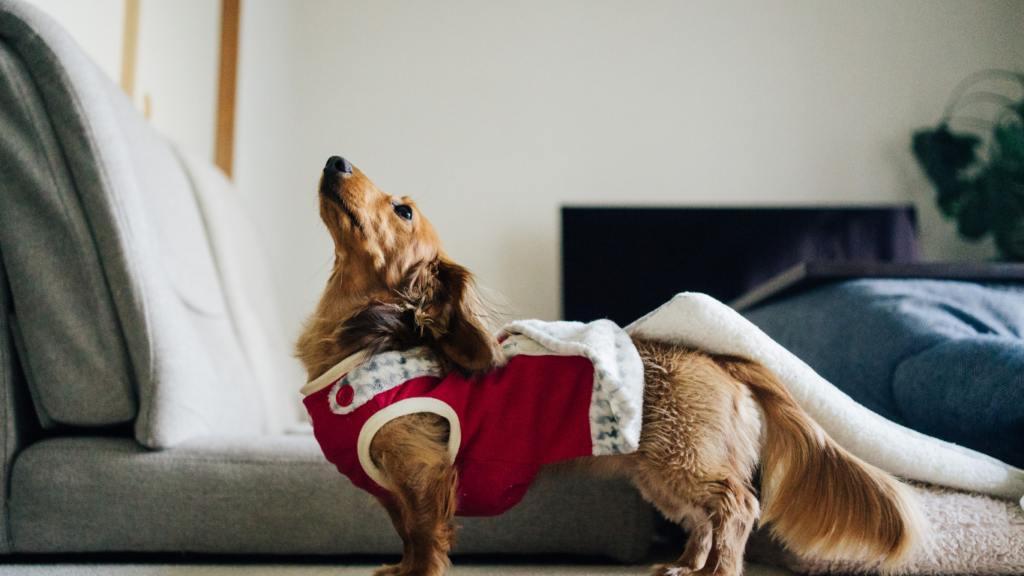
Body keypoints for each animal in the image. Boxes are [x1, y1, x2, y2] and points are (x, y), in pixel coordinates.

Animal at [296, 154, 929, 569]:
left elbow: (426, 541)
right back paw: (687, 567)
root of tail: (719, 357)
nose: (335, 159)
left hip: (685, 461)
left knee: (739, 507)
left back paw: (719, 571)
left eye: (402, 210)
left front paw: (417, 574)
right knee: (704, 519)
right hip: (658, 475)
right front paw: (398, 568)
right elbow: (406, 535)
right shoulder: (396, 491)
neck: (364, 342)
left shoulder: (426, 475)